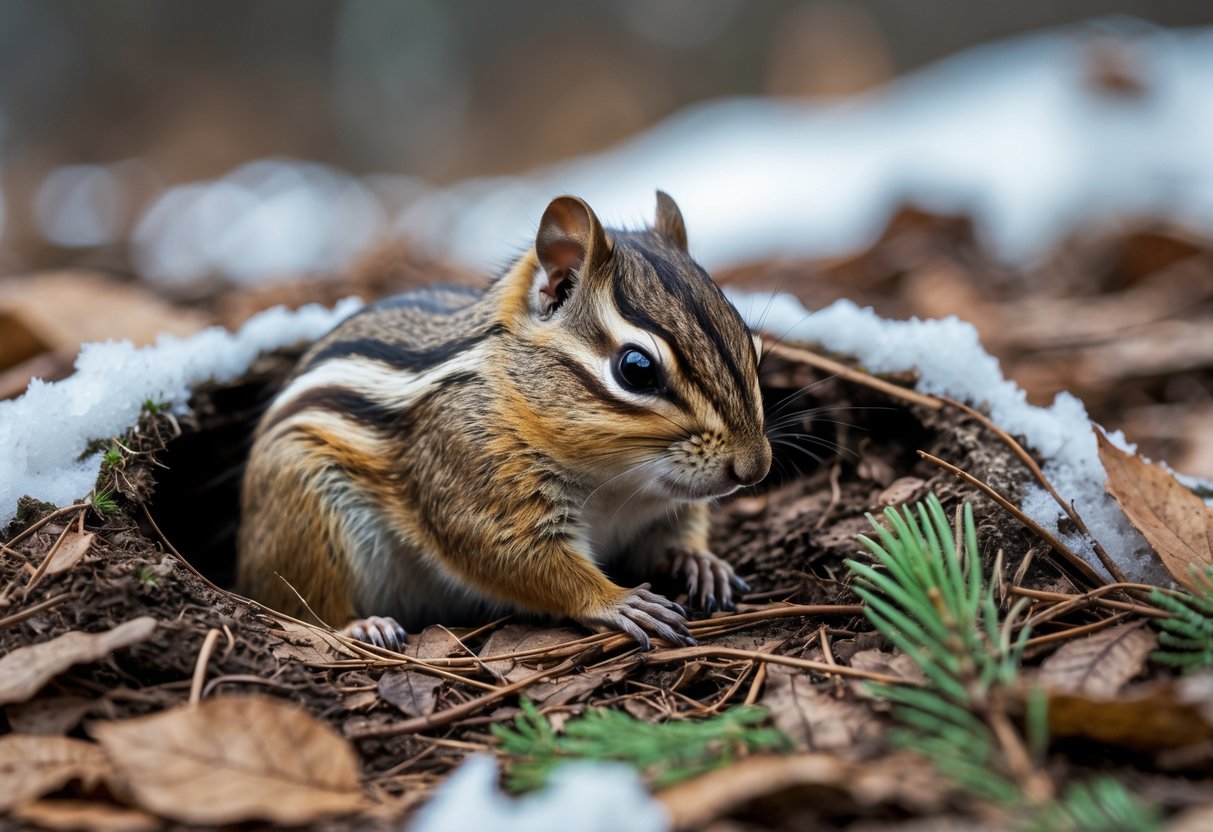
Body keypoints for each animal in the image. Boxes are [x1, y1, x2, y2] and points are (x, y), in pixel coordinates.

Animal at [236, 192, 771, 651]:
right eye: (636, 369)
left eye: (750, 341)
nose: (754, 468)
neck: (618, 485)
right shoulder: (470, 476)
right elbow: (517, 558)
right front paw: (618, 601)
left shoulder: (662, 509)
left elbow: (678, 532)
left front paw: (702, 561)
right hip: (304, 511)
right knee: (306, 607)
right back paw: (362, 625)